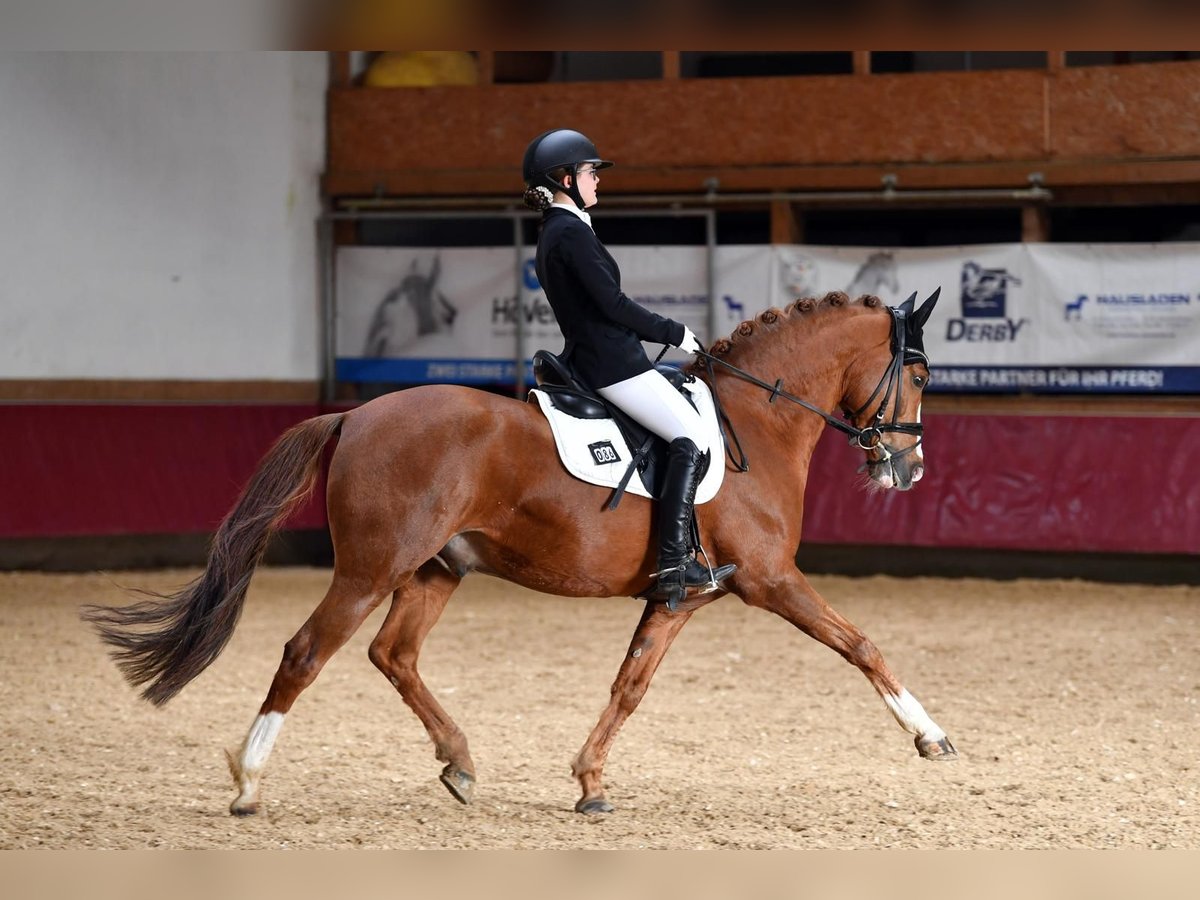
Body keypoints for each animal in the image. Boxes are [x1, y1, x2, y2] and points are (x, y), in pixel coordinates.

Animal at [82, 286, 955, 816]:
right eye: (919, 374)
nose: (909, 469)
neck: (757, 424)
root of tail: (356, 415)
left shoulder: (681, 597)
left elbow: (629, 686)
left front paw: (590, 783)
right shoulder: (773, 580)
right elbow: (862, 645)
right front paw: (931, 736)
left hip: (436, 569)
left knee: (393, 655)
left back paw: (459, 762)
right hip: (372, 568)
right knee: (306, 652)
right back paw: (249, 783)